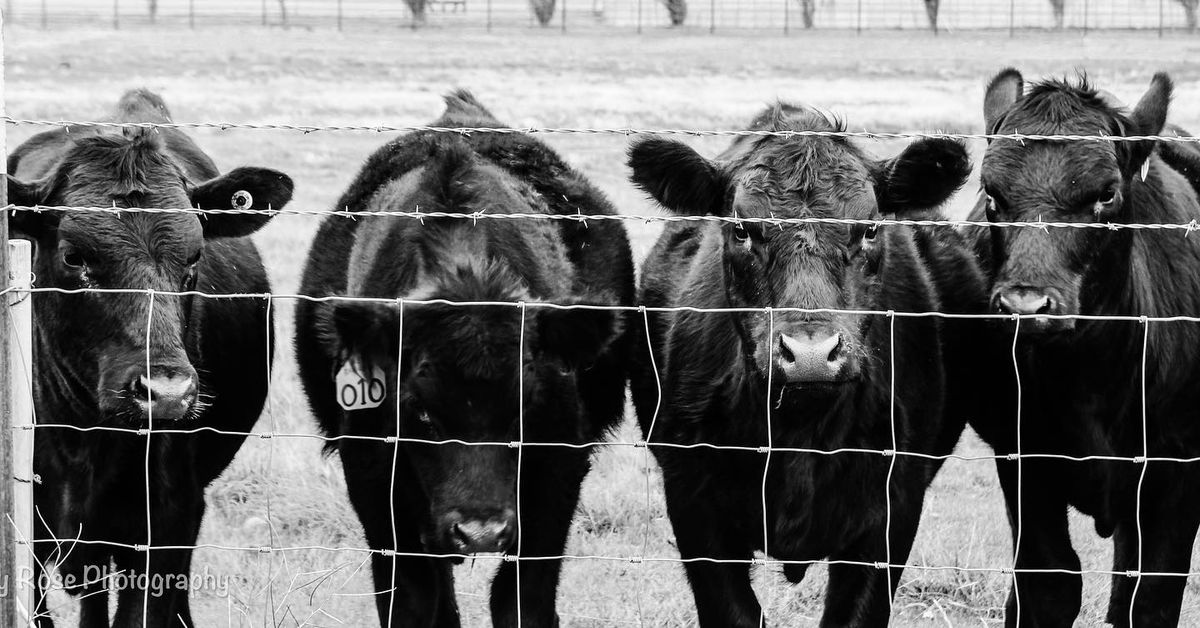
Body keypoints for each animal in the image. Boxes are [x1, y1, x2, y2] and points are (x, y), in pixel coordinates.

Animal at [295, 89, 633, 628]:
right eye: (422, 413)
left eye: (523, 412)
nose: (480, 534)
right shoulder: (374, 482)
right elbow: (414, 599)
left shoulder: (557, 477)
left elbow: (521, 599)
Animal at [624, 104, 979, 628]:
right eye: (741, 229)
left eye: (870, 227)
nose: (810, 354)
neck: (801, 432)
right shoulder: (693, 505)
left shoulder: (894, 509)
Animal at [964, 69, 1200, 628]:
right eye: (991, 194)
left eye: (1106, 194)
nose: (1025, 304)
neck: (1089, 380)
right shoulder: (1022, 457)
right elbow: (1049, 585)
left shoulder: (1179, 466)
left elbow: (1151, 598)